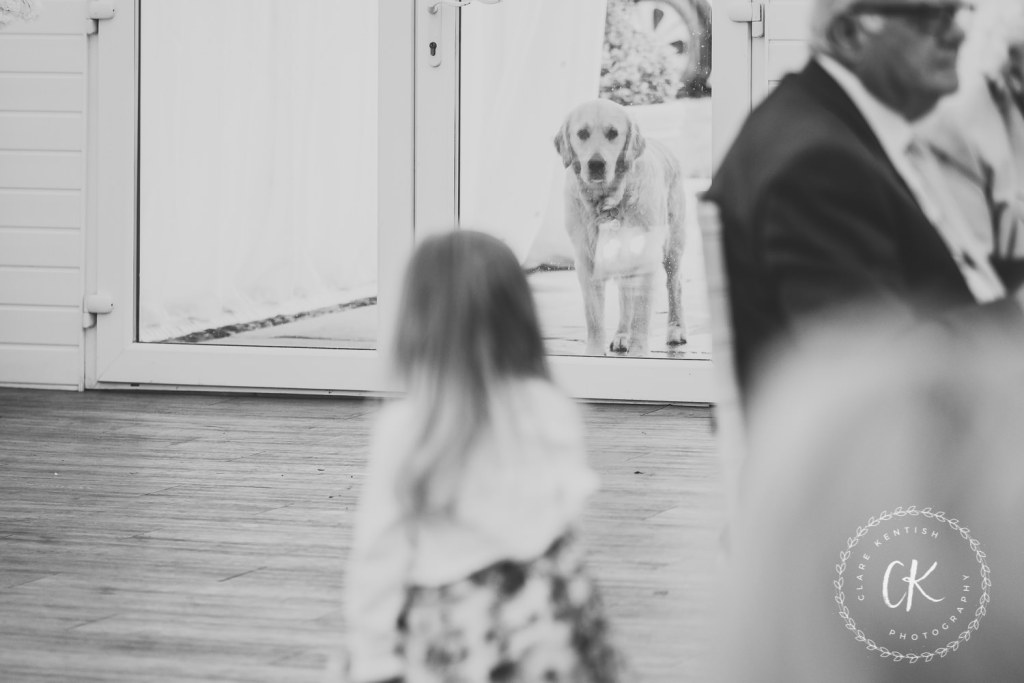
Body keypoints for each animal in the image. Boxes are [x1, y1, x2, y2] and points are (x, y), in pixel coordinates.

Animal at [554, 99, 686, 356]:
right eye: (582, 133)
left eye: (613, 133)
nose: (596, 164)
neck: (608, 203)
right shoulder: (587, 262)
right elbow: (595, 318)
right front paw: (595, 353)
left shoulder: (646, 258)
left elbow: (641, 315)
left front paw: (639, 353)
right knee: (626, 296)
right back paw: (621, 335)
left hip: (672, 250)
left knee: (674, 286)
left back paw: (675, 330)